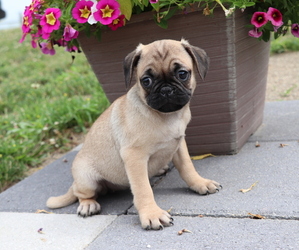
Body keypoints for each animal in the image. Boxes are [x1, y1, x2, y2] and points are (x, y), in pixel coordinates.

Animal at [46, 38, 220, 230]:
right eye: (146, 81)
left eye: (182, 74)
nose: (166, 89)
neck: (165, 116)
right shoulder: (134, 157)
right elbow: (143, 189)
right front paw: (152, 214)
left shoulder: (179, 145)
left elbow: (188, 168)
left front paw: (200, 183)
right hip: (86, 179)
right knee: (82, 194)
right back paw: (88, 205)